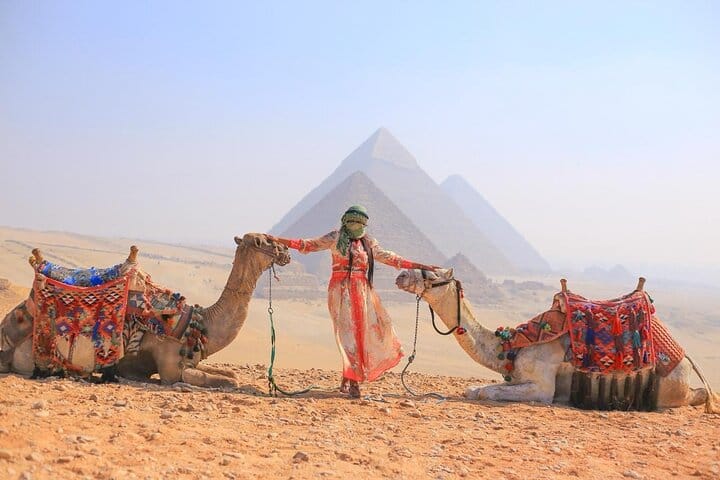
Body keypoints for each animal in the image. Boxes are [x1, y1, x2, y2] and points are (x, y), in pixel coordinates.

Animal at [0, 233, 290, 388]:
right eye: (263, 240)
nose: (286, 251)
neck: (199, 324)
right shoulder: (172, 369)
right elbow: (229, 381)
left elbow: (231, 374)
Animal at [395, 268, 718, 412]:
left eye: (430, 274)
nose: (400, 276)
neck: (511, 344)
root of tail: (684, 356)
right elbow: (479, 389)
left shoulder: (542, 386)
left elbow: (483, 392)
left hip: (670, 389)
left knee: (698, 394)